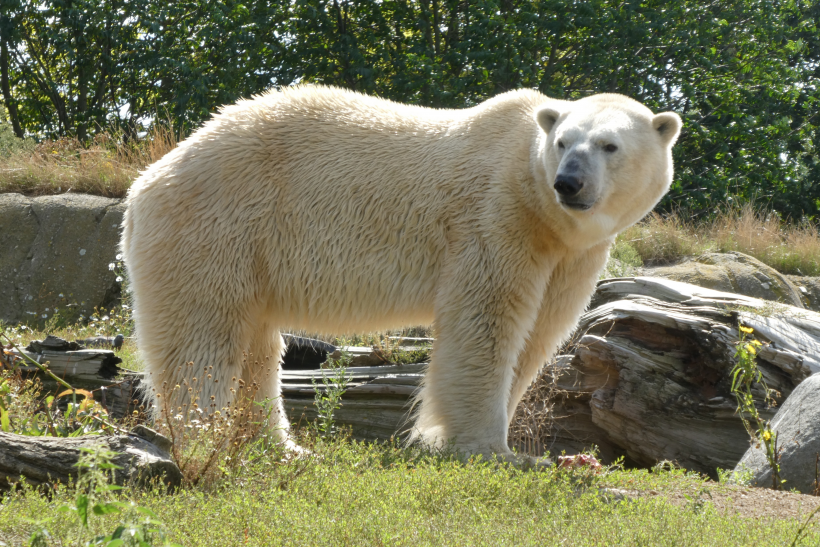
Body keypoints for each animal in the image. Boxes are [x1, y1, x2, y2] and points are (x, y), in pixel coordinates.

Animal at [121, 85, 684, 462]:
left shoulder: (569, 253)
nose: (568, 182)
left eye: (609, 145)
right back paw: (206, 435)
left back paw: (279, 445)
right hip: (219, 226)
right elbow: (487, 323)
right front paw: (488, 448)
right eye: (565, 141)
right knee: (203, 338)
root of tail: (148, 179)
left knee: (257, 348)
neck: (536, 199)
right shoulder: (496, 220)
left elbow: (540, 333)